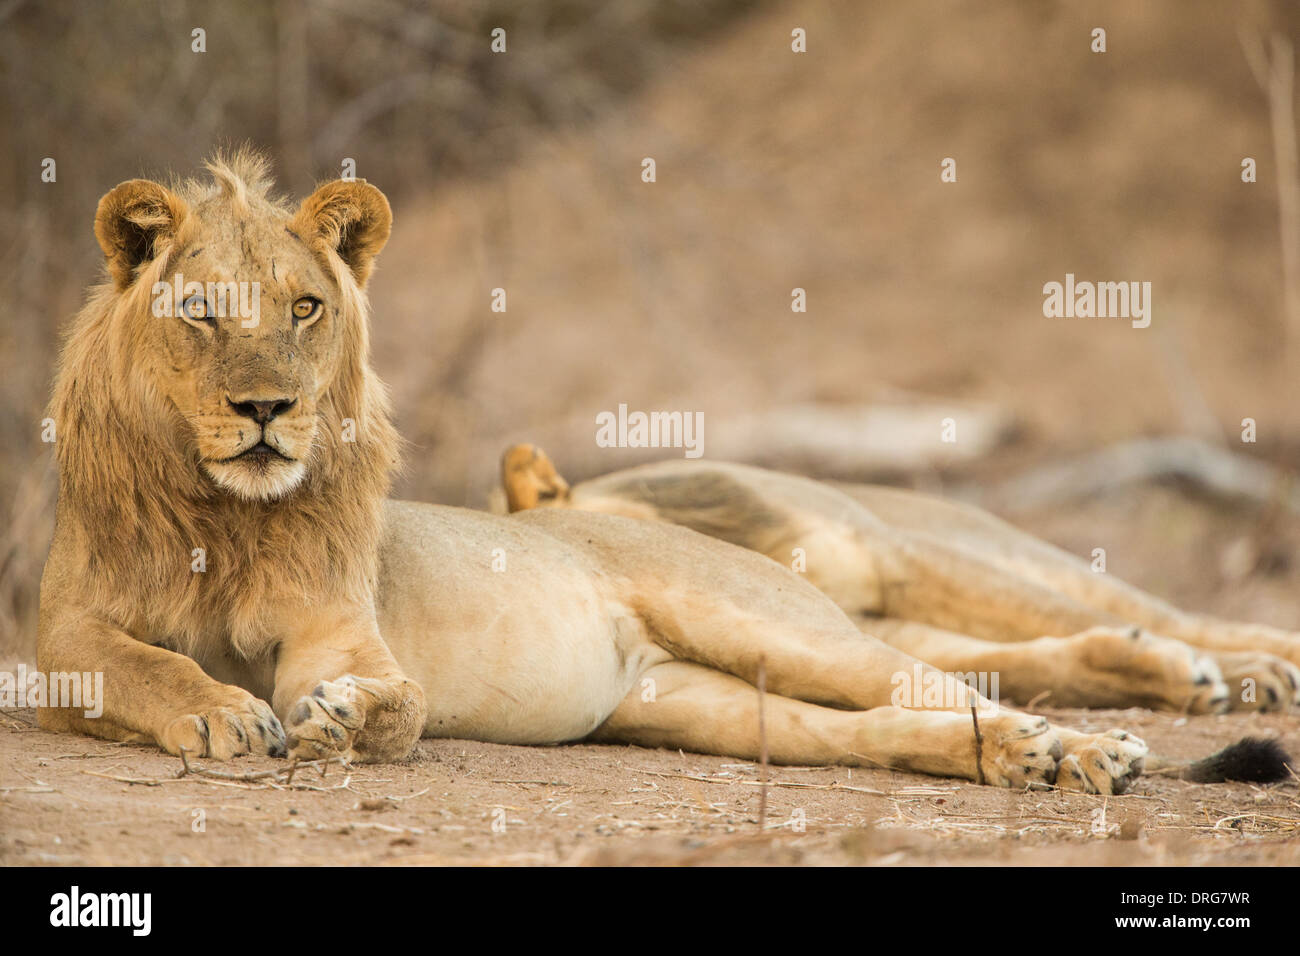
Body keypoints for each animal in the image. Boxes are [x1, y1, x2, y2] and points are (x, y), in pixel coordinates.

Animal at [38, 155, 1279, 790]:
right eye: (202, 312)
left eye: (303, 307)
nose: (266, 409)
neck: (223, 514)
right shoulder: (59, 638)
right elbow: (141, 665)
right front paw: (223, 713)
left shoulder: (344, 626)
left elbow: (397, 698)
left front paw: (342, 717)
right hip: (704, 702)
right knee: (889, 722)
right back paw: (1038, 758)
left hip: (771, 620)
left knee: (937, 678)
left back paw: (1091, 748)